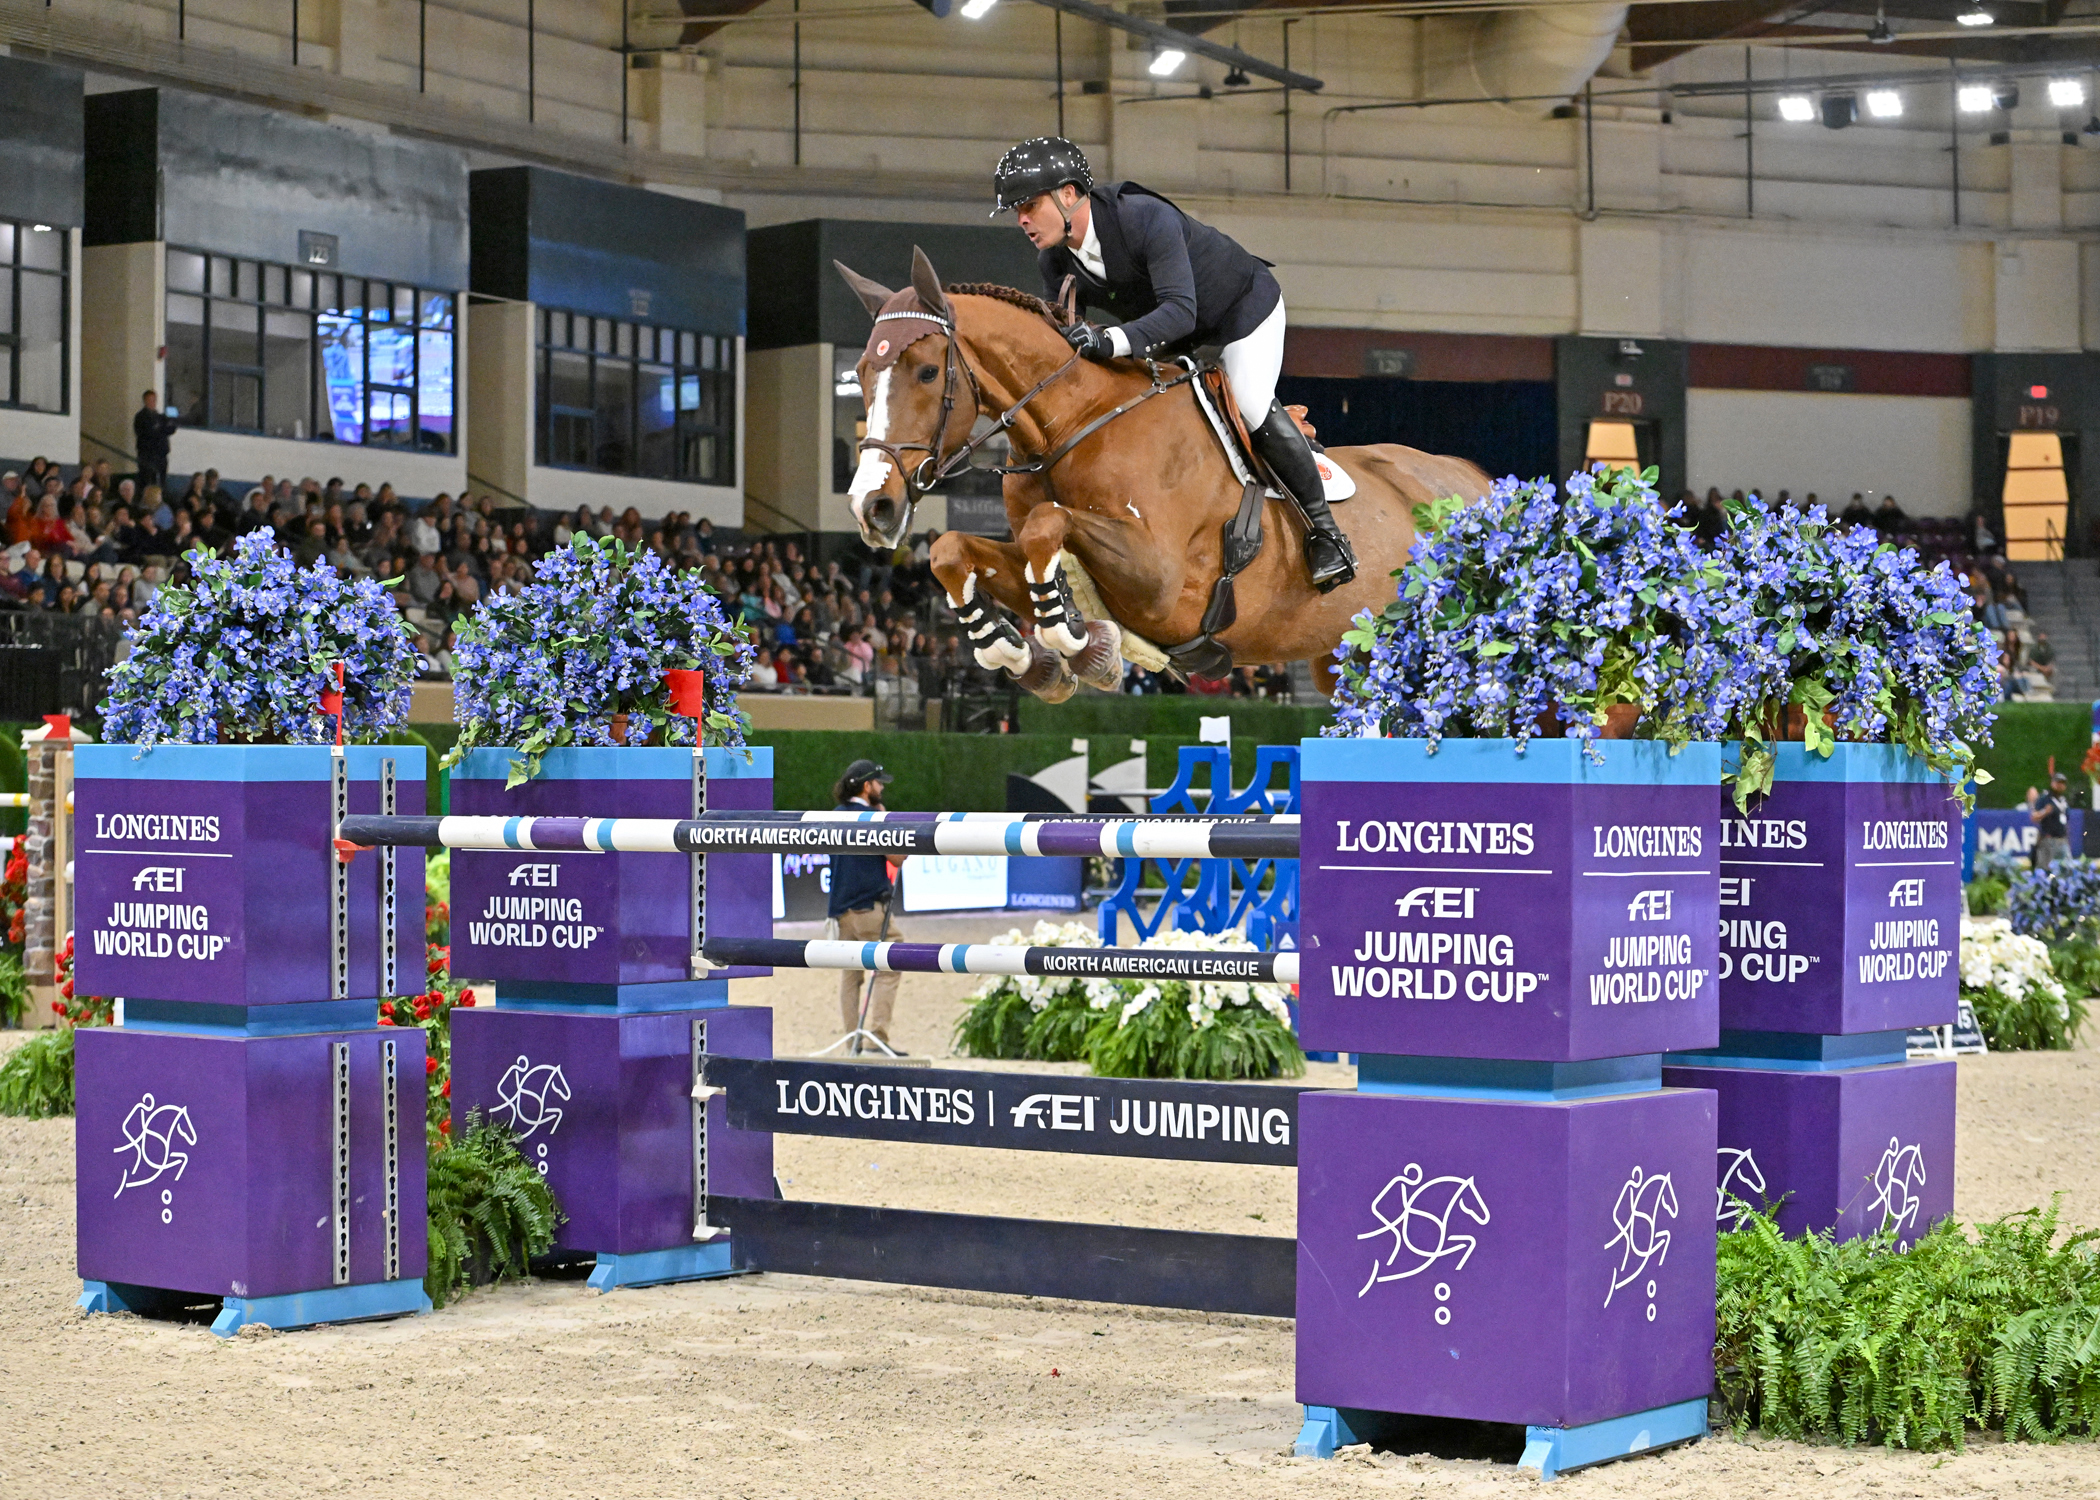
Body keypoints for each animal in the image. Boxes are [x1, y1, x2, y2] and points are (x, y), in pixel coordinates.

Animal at [835, 250, 1495, 701]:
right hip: (1341, 660)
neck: (1072, 425)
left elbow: (1047, 525)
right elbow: (955, 549)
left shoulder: (1162, 585)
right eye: (860, 373)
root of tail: (1480, 483)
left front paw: (1078, 644)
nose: (872, 507)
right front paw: (1024, 654)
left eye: (926, 371)